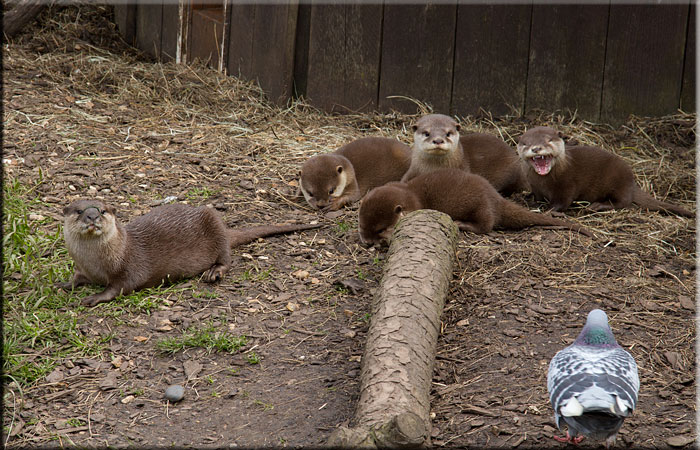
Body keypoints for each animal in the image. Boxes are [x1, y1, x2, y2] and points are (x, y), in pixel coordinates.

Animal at [58, 199, 321, 306]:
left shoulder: (130, 266)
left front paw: (96, 297)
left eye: (102, 210)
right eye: (79, 211)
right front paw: (63, 284)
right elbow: (77, 277)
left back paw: (214, 272)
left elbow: (120, 286)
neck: (96, 263)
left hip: (214, 224)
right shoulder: (84, 268)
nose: (92, 216)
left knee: (227, 258)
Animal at [359, 168, 592, 246]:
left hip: (480, 206)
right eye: (362, 227)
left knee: (486, 225)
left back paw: (462, 224)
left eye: (380, 229)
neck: (411, 196)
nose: (367, 242)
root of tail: (497, 199)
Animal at [517, 126, 694, 217]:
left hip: (619, 181)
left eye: (549, 140)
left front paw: (549, 210)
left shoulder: (567, 185)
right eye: (526, 143)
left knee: (623, 202)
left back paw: (597, 206)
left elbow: (563, 202)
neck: (545, 181)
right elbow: (537, 197)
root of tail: (632, 183)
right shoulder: (536, 186)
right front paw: (531, 201)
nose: (536, 148)